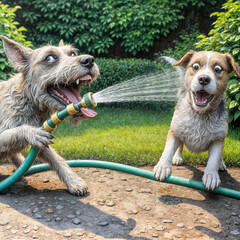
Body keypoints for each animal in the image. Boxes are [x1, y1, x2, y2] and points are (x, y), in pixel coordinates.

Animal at [154, 50, 240, 189]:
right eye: (195, 66)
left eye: (217, 69)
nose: (204, 79)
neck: (200, 114)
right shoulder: (174, 131)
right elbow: (168, 150)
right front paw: (162, 166)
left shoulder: (218, 138)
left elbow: (214, 159)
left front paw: (211, 175)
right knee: (180, 145)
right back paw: (177, 157)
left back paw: (221, 164)